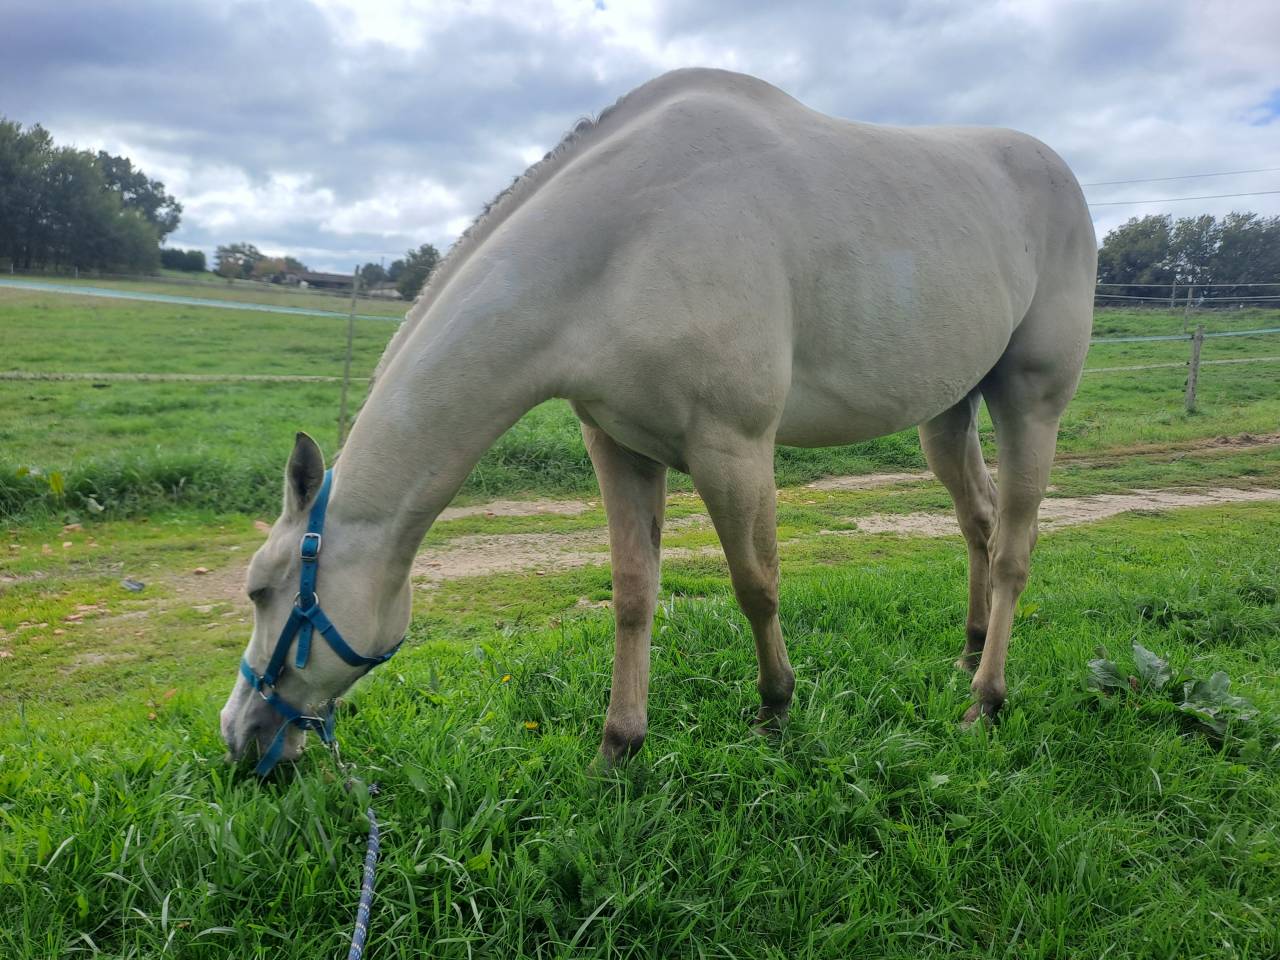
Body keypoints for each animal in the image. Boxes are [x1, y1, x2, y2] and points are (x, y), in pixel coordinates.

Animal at [221, 67, 1095, 769]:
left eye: (263, 591)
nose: (239, 735)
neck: (621, 241)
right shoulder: (618, 446)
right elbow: (634, 594)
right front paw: (620, 745)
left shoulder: (733, 447)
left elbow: (756, 585)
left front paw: (776, 709)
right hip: (947, 413)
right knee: (979, 522)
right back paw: (968, 653)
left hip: (1030, 399)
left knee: (1015, 546)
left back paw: (987, 699)